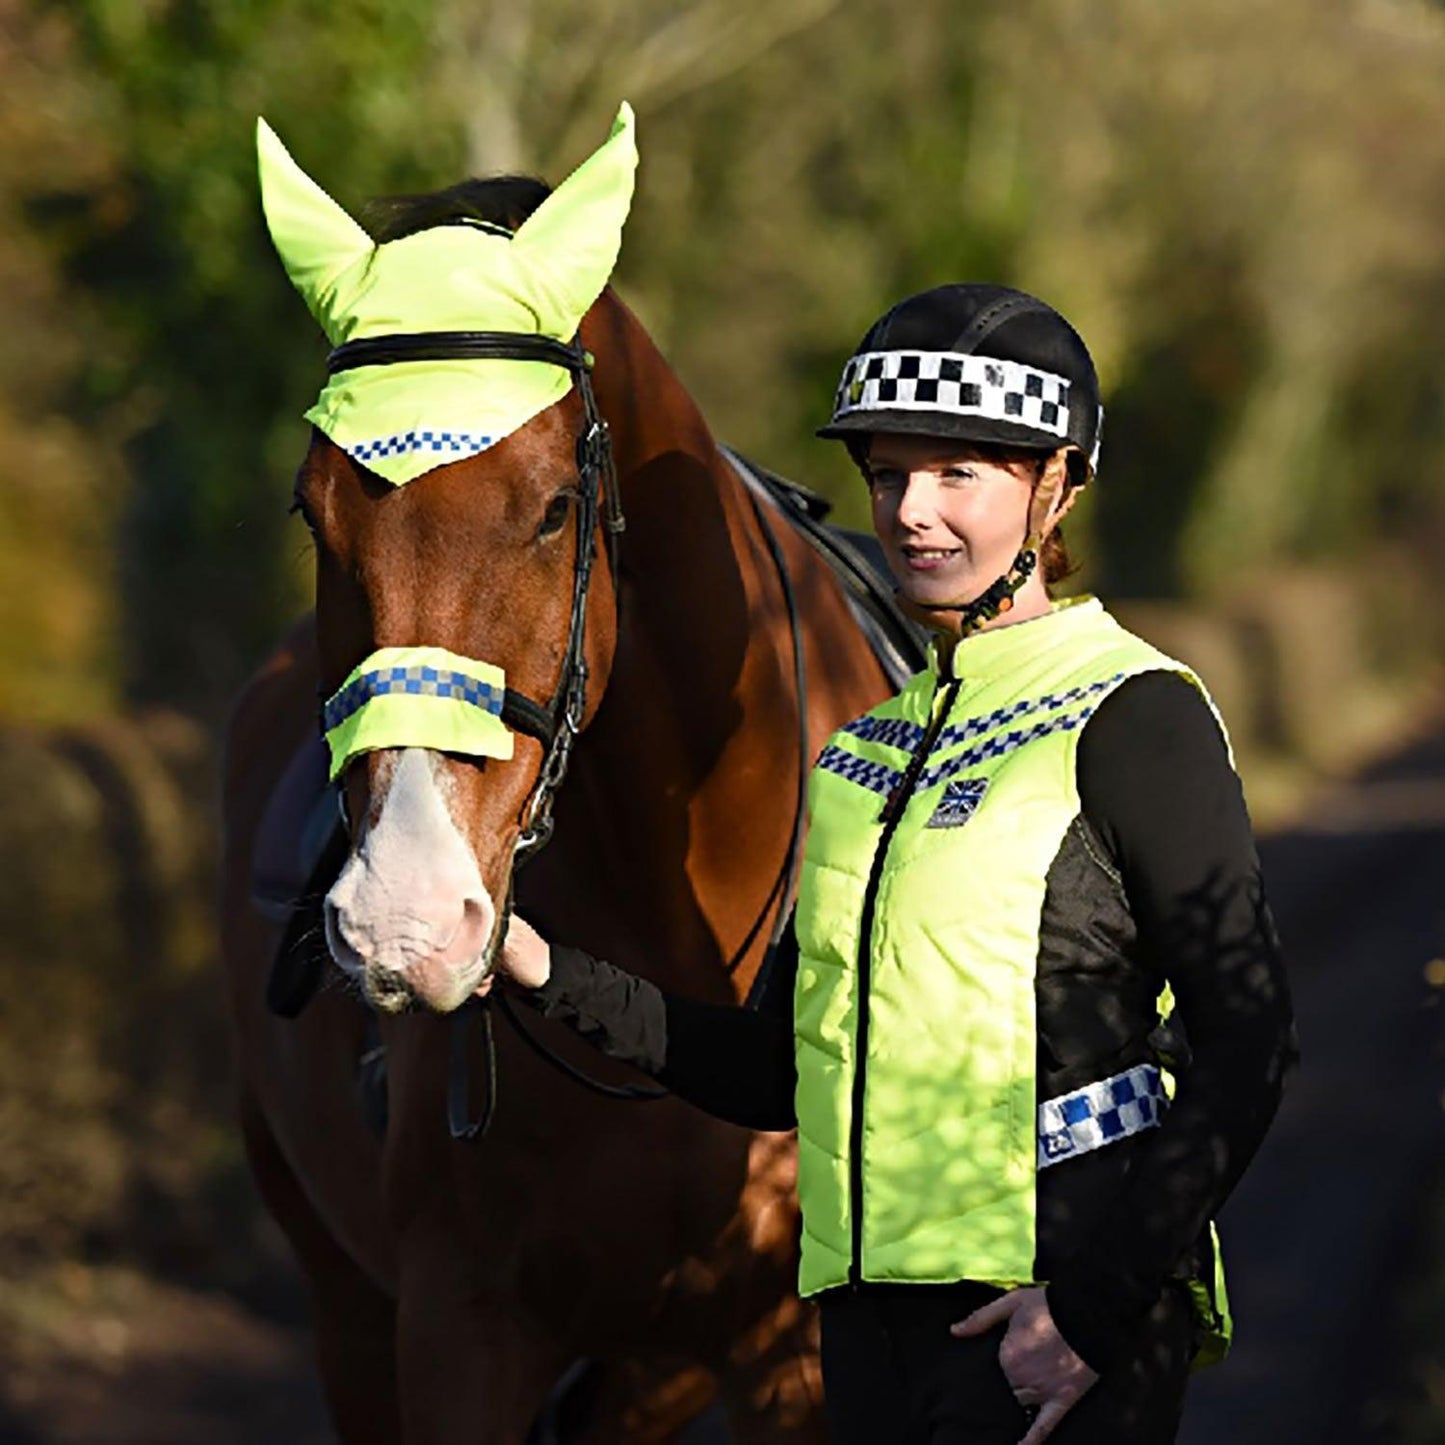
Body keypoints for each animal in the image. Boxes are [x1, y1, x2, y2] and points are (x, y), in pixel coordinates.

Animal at [218, 115, 890, 1445]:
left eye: (555, 508)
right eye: (314, 515)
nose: (405, 916)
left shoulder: (787, 1354)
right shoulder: (457, 1330)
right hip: (349, 1306)